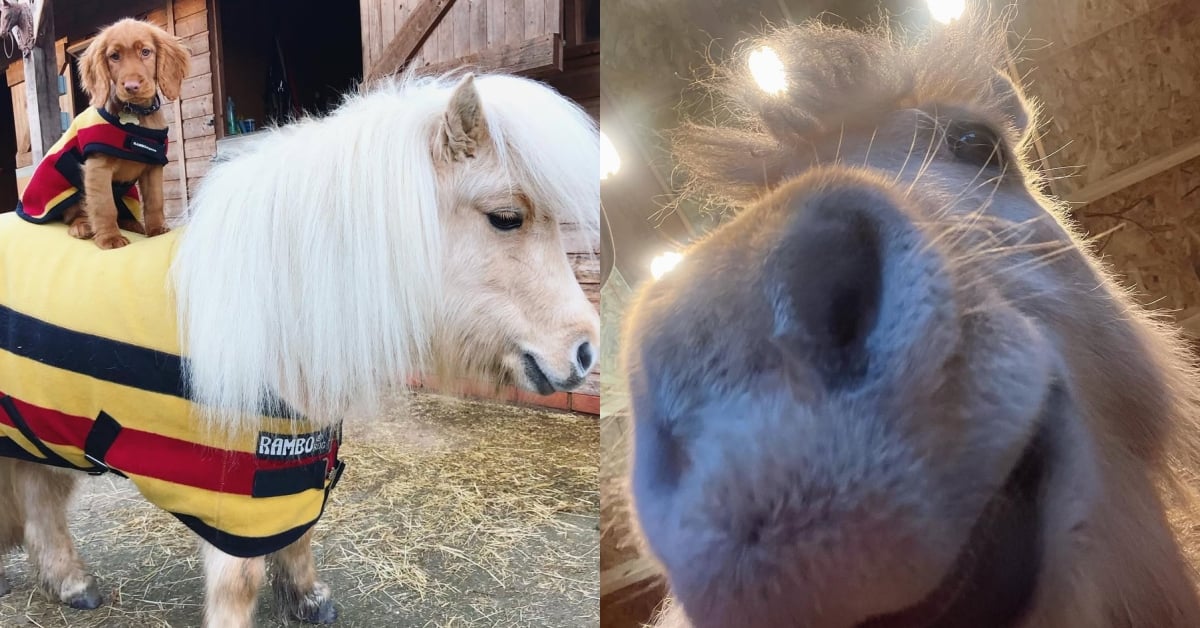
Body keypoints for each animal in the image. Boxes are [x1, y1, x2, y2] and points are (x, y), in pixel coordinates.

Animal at [0, 71, 599, 627]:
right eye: (505, 218)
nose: (586, 351)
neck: (272, 319)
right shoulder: (231, 495)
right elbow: (240, 580)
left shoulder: (293, 471)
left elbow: (300, 537)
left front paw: (308, 599)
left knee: (40, 502)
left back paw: (72, 584)